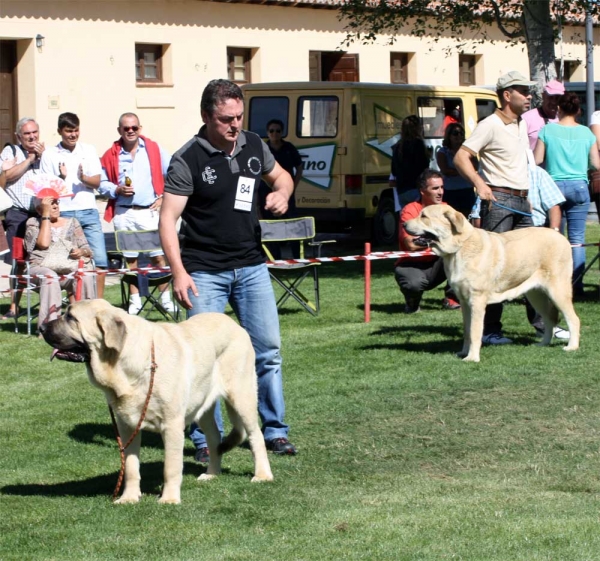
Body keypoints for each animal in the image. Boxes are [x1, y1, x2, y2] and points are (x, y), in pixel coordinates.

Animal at [41, 300, 274, 506]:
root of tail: (234, 323)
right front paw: (129, 498)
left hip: (242, 396)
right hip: (202, 407)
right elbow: (131, 466)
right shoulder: (127, 427)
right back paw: (211, 474)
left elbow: (170, 467)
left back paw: (262, 475)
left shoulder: (172, 425)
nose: (41, 327)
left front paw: (169, 499)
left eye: (71, 317)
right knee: (215, 437)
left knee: (255, 435)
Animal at [406, 206, 580, 364]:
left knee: (573, 319)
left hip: (557, 291)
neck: (459, 247)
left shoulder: (477, 300)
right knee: (549, 319)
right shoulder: (464, 302)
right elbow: (467, 331)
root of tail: (560, 236)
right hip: (535, 295)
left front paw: (472, 358)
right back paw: (543, 344)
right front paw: (463, 352)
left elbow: (475, 332)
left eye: (424, 216)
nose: (404, 225)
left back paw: (572, 347)